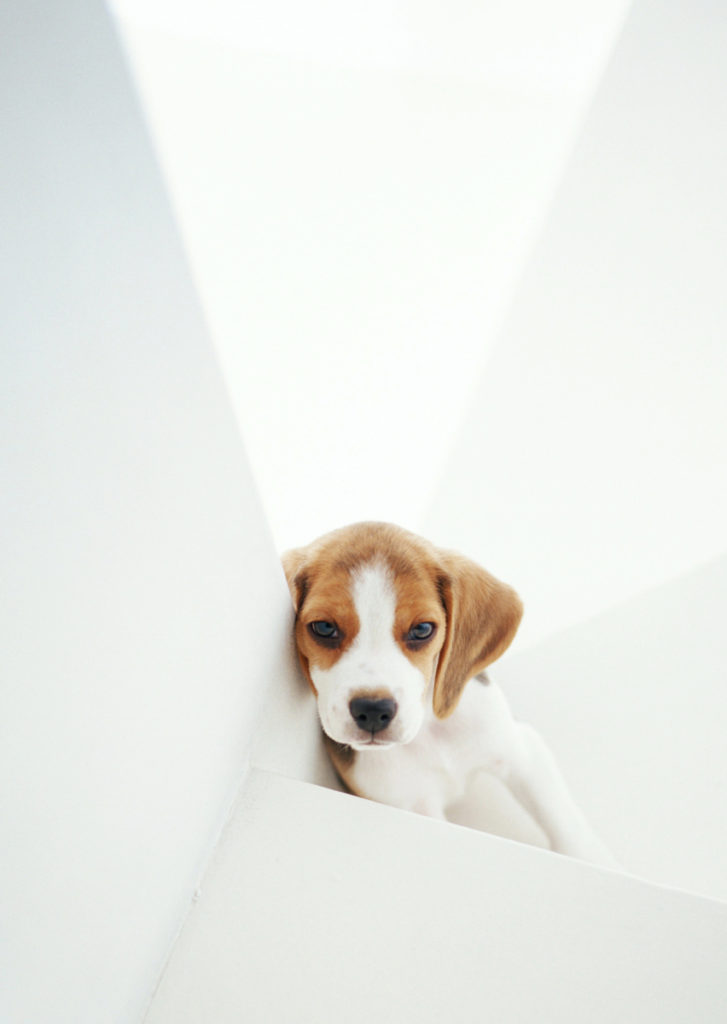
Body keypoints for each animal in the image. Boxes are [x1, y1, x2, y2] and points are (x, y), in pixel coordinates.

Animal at [282, 521, 615, 866]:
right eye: (323, 628)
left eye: (422, 630)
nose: (373, 711)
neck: (429, 731)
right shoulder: (413, 807)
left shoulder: (520, 749)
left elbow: (564, 823)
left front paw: (598, 863)